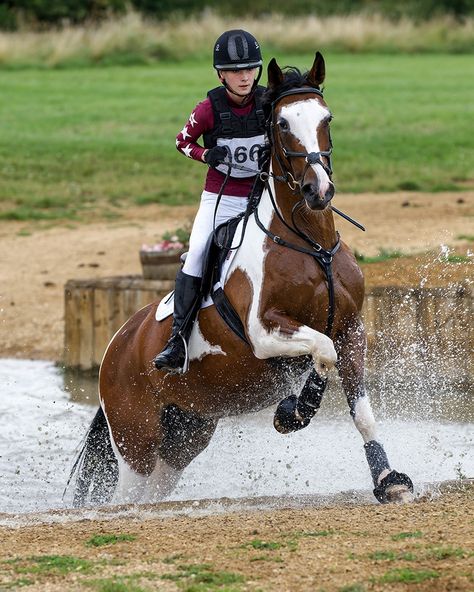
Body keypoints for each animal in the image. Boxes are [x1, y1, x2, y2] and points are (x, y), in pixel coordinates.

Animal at [68, 53, 412, 508]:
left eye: (327, 118)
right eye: (281, 123)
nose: (318, 191)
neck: (311, 244)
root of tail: (115, 346)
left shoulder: (351, 330)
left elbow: (361, 409)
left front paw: (389, 480)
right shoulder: (265, 333)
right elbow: (321, 350)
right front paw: (294, 411)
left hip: (185, 434)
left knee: (157, 485)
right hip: (135, 440)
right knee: (126, 494)